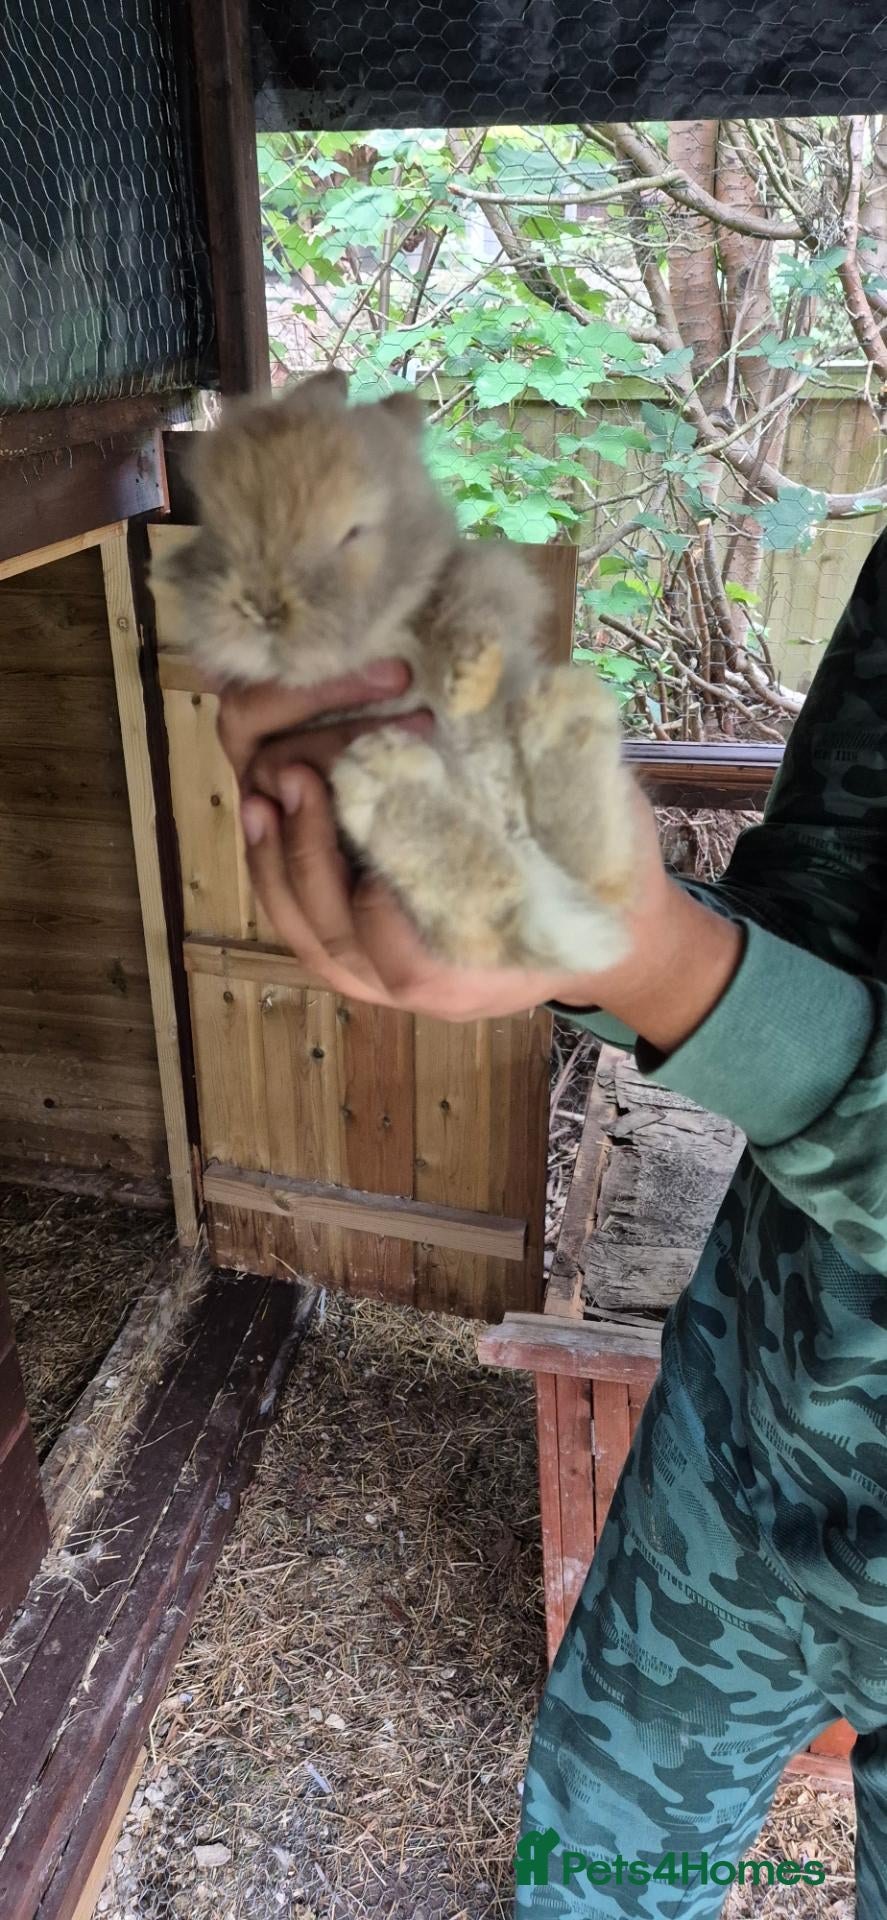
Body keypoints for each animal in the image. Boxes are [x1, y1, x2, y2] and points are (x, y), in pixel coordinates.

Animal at [149, 368, 637, 972]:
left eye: (354, 531)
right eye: (216, 527)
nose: (260, 607)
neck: (375, 639)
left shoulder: (477, 574)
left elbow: (477, 600)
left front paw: (468, 684)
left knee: (575, 880)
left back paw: (558, 712)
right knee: (496, 906)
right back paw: (392, 775)